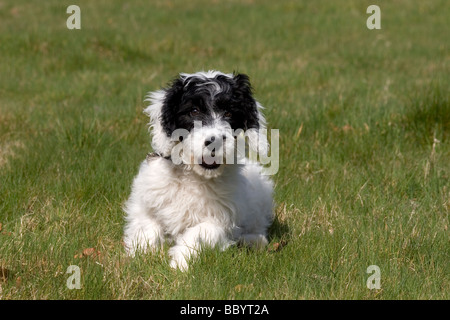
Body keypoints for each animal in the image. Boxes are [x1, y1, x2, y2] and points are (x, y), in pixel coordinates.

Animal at [121, 70, 274, 270]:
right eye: (194, 111)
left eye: (229, 112)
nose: (214, 141)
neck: (193, 176)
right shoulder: (145, 203)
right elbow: (147, 227)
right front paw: (139, 256)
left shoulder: (221, 218)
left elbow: (200, 232)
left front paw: (179, 263)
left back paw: (252, 241)